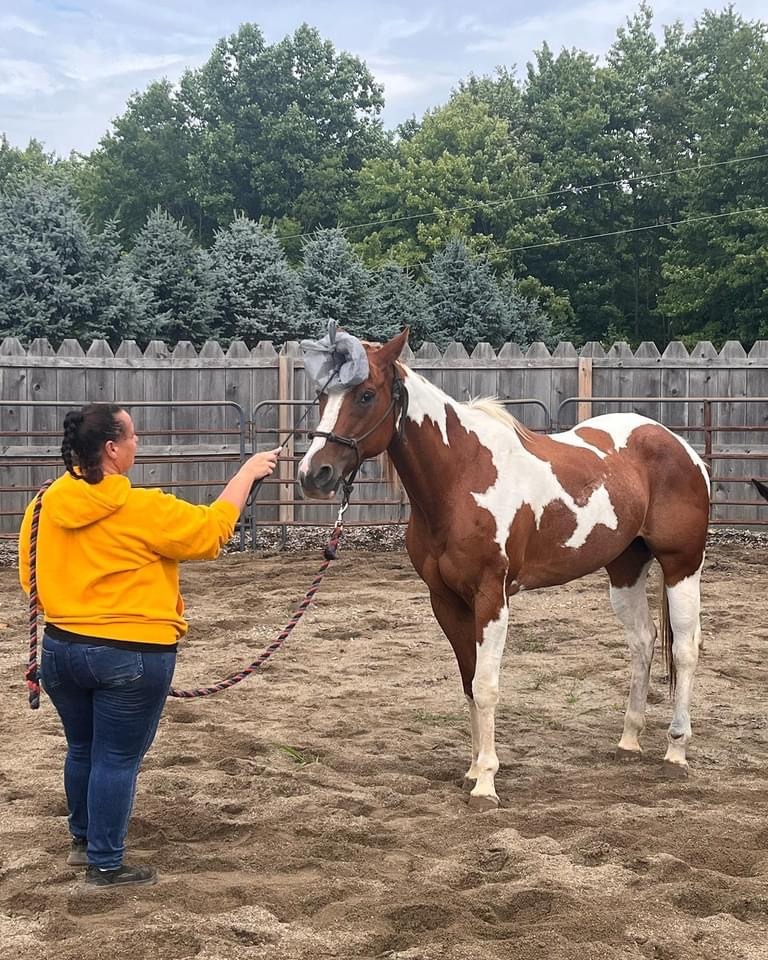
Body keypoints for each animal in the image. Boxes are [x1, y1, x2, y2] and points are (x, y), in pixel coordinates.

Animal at [298, 330, 710, 810]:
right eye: (322, 394)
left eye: (365, 394)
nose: (314, 473)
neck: (461, 478)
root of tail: (682, 448)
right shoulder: (446, 601)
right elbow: (468, 683)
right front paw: (473, 770)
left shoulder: (491, 597)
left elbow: (487, 686)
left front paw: (486, 784)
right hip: (625, 570)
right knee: (643, 642)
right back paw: (629, 741)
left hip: (682, 566)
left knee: (685, 649)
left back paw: (676, 751)